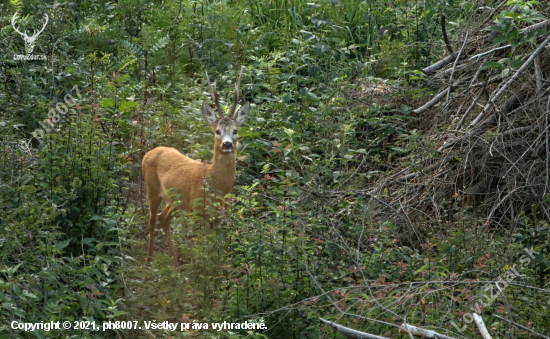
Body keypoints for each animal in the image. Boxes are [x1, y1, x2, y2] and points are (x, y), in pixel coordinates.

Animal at [143, 67, 253, 266]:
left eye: (235, 130)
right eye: (217, 131)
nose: (227, 144)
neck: (215, 185)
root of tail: (149, 152)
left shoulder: (218, 217)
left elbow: (213, 248)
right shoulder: (196, 211)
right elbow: (197, 248)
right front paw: (197, 271)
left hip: (175, 200)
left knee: (164, 218)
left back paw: (176, 265)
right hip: (151, 189)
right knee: (152, 219)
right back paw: (148, 260)